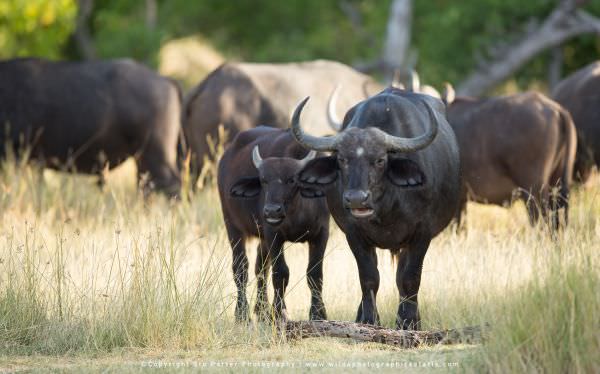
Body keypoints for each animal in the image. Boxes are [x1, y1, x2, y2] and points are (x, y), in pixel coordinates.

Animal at [290, 86, 460, 328]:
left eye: (380, 160)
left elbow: (410, 278)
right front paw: (369, 320)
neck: (387, 208)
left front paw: (408, 322)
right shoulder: (354, 234)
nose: (356, 199)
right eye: (342, 159)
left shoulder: (422, 233)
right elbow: (369, 277)